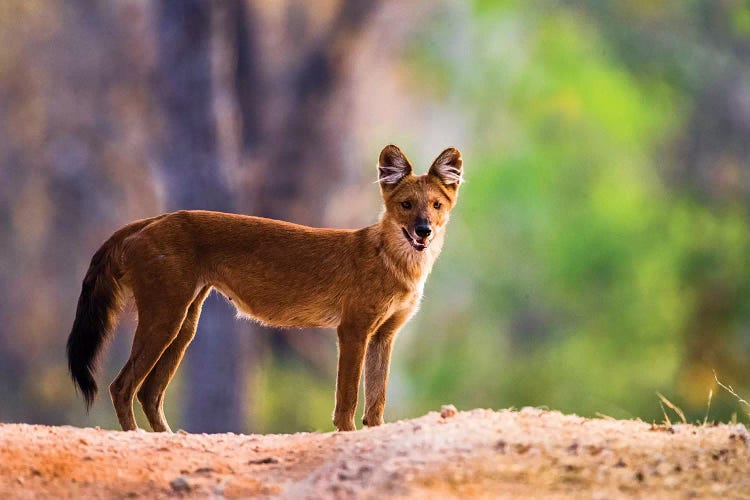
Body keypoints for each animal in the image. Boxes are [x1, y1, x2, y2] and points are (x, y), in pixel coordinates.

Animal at [67, 144, 464, 430]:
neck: (398, 264)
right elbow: (348, 399)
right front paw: (346, 435)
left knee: (149, 392)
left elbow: (377, 400)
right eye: (406, 205)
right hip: (164, 318)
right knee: (122, 386)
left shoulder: (384, 335)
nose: (423, 230)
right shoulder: (353, 330)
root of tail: (150, 220)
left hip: (184, 323)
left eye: (435, 205)